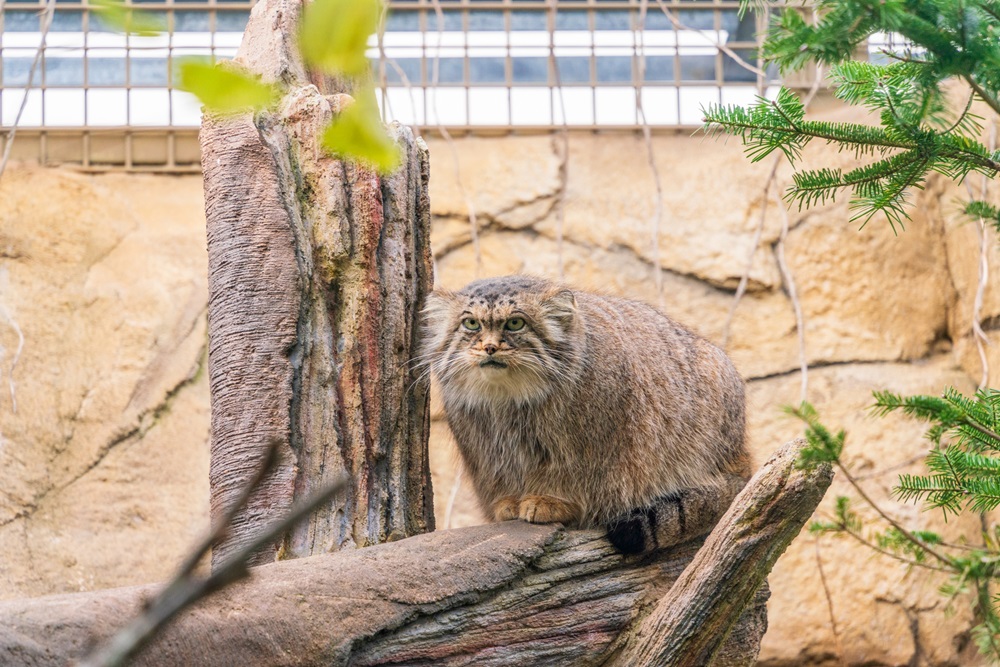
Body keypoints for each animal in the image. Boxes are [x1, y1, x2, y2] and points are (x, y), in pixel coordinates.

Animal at [418, 276, 752, 552]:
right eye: (471, 324)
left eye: (515, 323)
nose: (489, 347)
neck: (509, 400)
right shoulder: (484, 447)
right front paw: (510, 501)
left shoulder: (596, 445)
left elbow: (579, 476)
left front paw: (551, 500)